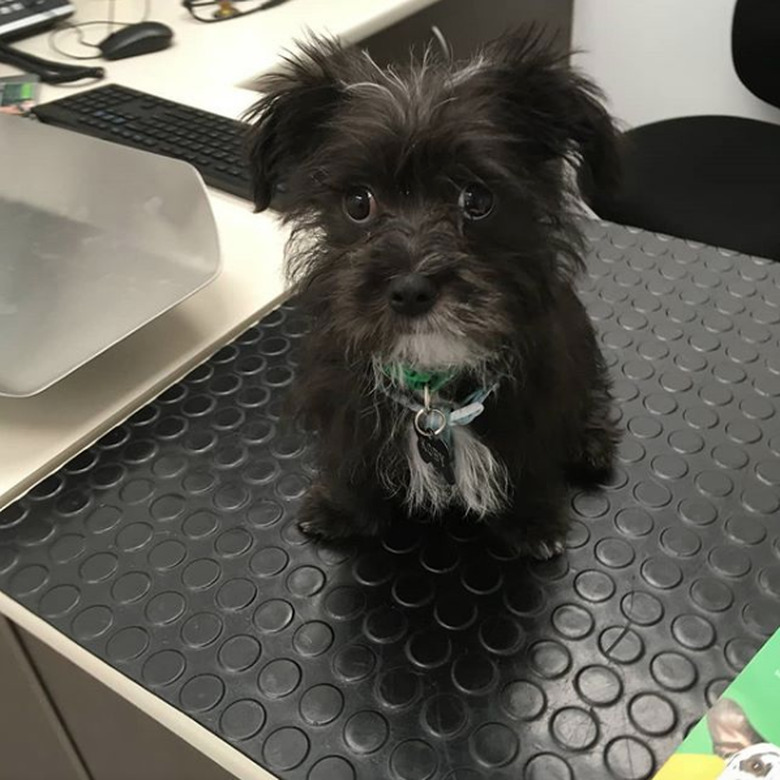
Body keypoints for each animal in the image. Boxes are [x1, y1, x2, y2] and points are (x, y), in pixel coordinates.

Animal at [247, 29, 620, 556]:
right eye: (358, 202)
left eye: (477, 199)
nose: (410, 290)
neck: (433, 390)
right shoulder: (345, 404)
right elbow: (351, 460)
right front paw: (342, 507)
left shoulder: (536, 401)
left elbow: (531, 460)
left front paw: (531, 521)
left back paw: (590, 442)